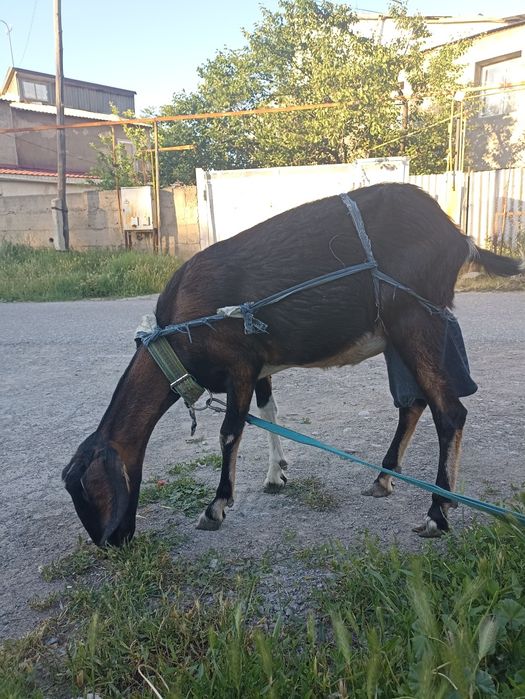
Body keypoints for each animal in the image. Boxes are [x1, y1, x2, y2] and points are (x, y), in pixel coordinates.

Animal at [63, 183, 523, 546]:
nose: (112, 543)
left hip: (414, 318)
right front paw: (275, 474)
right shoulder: (260, 367)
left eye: (86, 493)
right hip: (400, 332)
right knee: (413, 404)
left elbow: (231, 432)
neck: (180, 335)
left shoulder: (239, 365)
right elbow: (269, 413)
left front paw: (217, 506)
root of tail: (458, 237)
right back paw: (382, 479)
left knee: (450, 411)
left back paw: (437, 514)